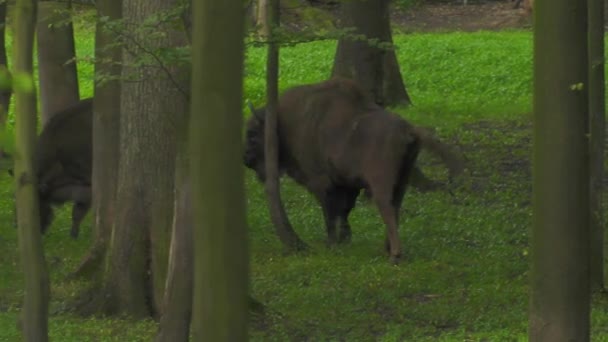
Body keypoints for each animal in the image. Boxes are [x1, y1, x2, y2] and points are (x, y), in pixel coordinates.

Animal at [245, 78, 464, 264]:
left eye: (252, 134)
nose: (245, 159)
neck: (284, 123)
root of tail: (409, 130)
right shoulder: (347, 184)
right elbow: (344, 210)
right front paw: (345, 239)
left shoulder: (321, 183)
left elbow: (330, 212)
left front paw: (332, 242)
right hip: (402, 179)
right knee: (396, 207)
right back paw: (387, 248)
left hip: (381, 183)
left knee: (386, 208)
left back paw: (395, 254)